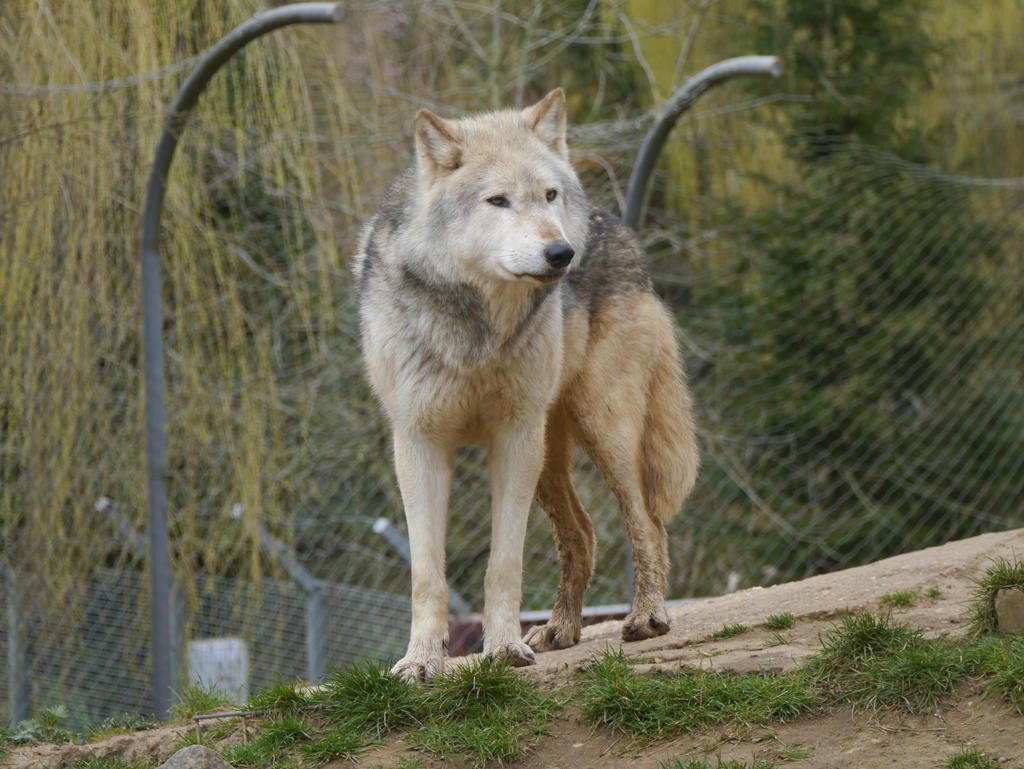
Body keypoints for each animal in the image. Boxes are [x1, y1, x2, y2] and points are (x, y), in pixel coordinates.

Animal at [350, 87, 696, 684]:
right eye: (498, 201)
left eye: (549, 195)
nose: (562, 254)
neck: (479, 326)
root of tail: (618, 226)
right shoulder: (417, 443)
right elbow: (426, 573)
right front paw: (420, 661)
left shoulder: (511, 439)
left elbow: (504, 563)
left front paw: (504, 649)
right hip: (549, 455)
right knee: (583, 534)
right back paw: (560, 630)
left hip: (601, 429)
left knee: (646, 522)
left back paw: (647, 618)